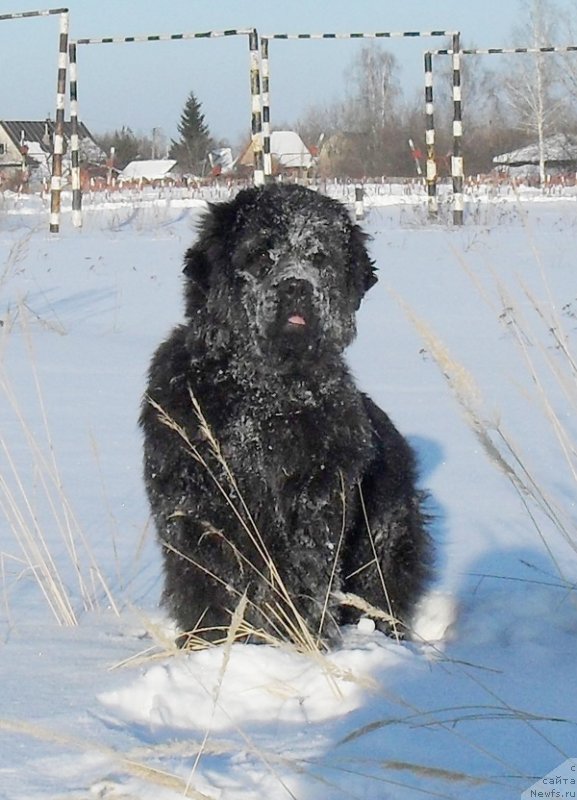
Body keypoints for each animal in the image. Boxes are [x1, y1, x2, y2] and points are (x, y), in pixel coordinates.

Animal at [140, 184, 430, 648]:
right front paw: (210, 643)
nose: (296, 286)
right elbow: (207, 583)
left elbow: (303, 579)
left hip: (384, 538)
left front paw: (300, 639)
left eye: (319, 256)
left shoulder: (314, 502)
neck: (263, 395)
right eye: (261, 253)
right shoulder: (195, 505)